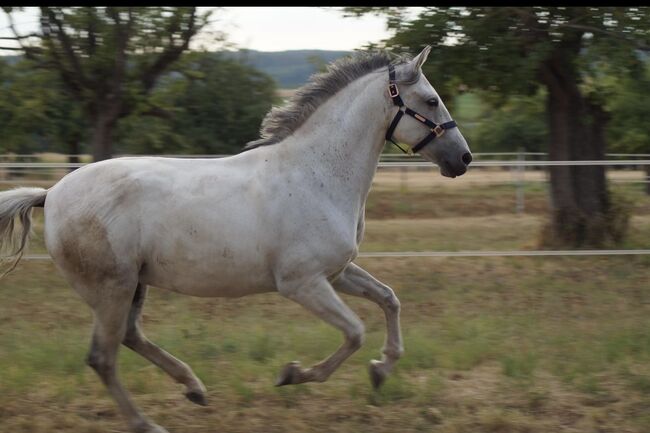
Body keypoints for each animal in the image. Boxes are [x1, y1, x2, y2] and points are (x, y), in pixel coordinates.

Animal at [0, 45, 468, 430]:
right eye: (431, 100)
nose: (462, 158)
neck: (315, 173)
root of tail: (50, 194)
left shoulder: (336, 273)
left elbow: (389, 299)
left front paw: (380, 370)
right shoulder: (302, 283)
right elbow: (354, 332)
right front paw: (293, 374)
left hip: (131, 285)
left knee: (129, 338)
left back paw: (194, 388)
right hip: (111, 287)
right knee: (104, 356)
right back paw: (148, 423)